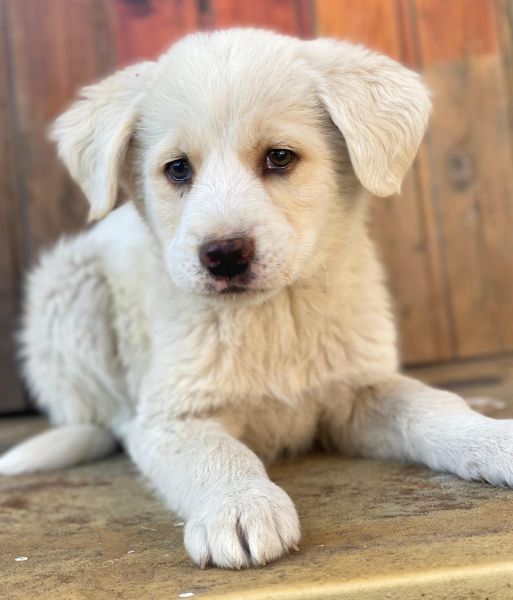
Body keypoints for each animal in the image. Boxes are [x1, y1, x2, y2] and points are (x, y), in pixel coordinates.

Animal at [1, 28, 511, 570]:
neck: (273, 314)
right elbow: (219, 453)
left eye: (279, 157)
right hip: (69, 290)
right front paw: (239, 505)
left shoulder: (361, 387)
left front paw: (494, 439)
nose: (223, 255)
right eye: (177, 169)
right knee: (103, 415)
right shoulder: (174, 416)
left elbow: (433, 407)